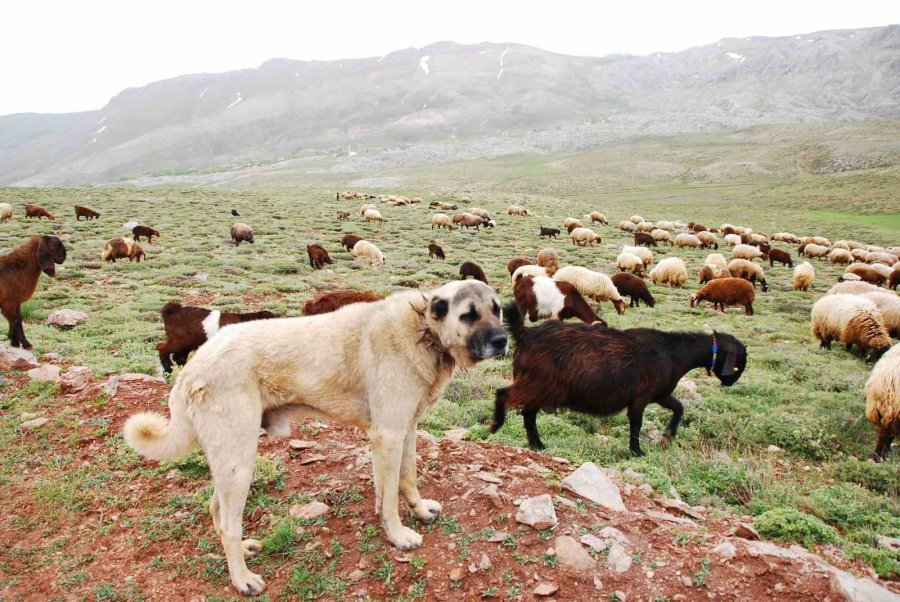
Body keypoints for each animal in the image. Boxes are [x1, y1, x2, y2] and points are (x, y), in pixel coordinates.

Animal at [488, 302, 748, 452]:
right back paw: (495, 426)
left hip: (543, 387)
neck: (674, 353)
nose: (730, 382)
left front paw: (667, 437)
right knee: (505, 395)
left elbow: (679, 408)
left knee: (528, 413)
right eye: (737, 367)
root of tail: (525, 334)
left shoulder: (660, 394)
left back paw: (537, 445)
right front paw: (637, 451)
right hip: (540, 383)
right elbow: (636, 423)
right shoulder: (641, 397)